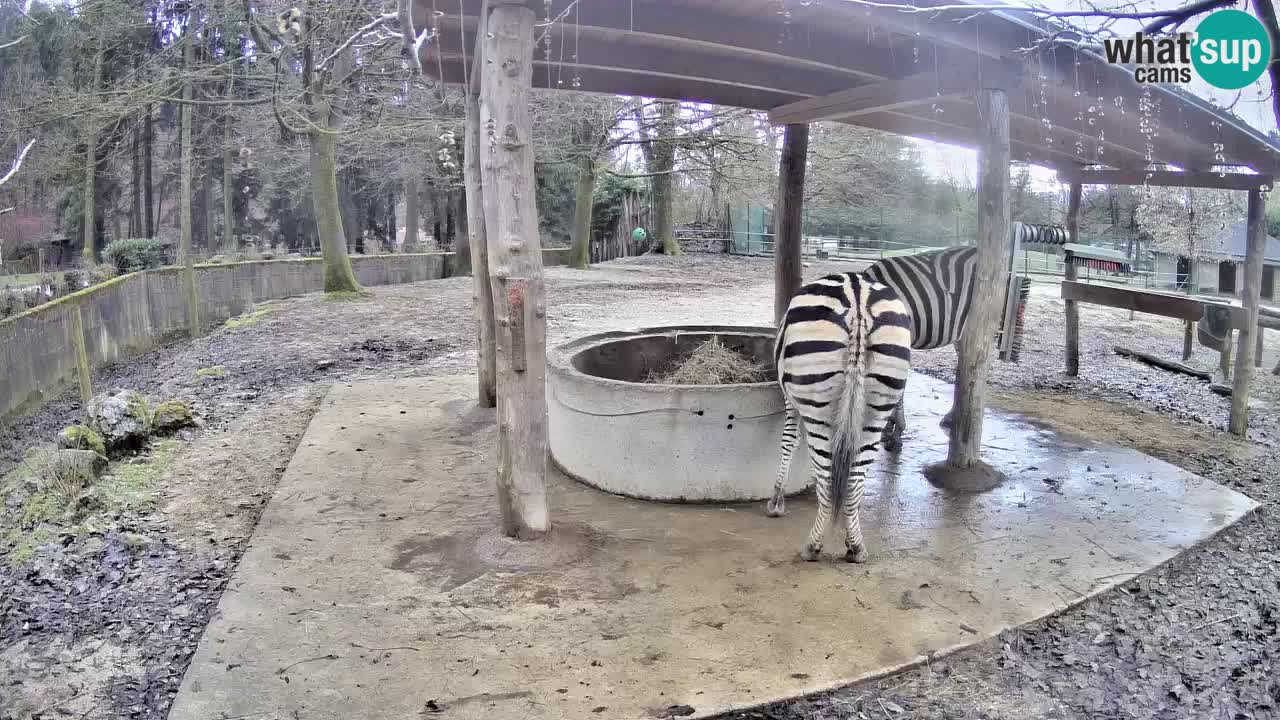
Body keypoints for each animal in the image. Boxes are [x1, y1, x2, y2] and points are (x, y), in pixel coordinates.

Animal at [768, 269, 911, 561]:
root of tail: (857, 299)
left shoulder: (791, 400)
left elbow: (788, 441)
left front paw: (777, 499)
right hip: (876, 410)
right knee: (854, 479)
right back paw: (855, 546)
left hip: (817, 406)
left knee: (826, 477)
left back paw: (812, 546)